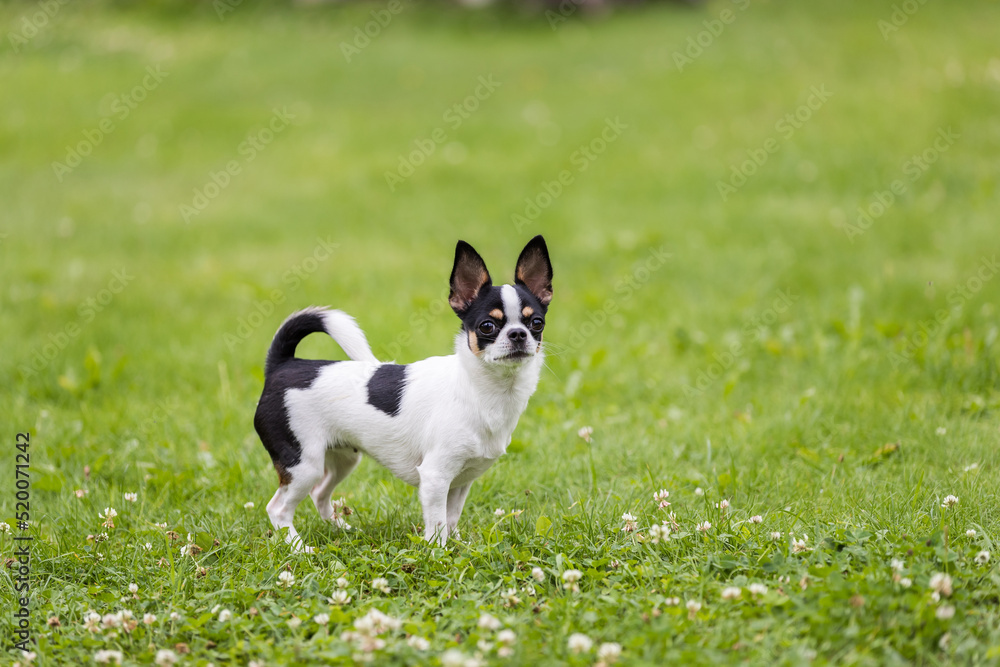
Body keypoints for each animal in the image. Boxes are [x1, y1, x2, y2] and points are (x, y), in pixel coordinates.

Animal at [252, 237, 556, 552]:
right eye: (487, 326)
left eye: (537, 323)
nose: (518, 334)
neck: (482, 391)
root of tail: (284, 364)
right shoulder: (435, 477)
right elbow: (437, 523)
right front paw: (438, 553)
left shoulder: (460, 481)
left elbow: (451, 517)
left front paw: (457, 545)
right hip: (303, 464)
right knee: (278, 508)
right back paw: (297, 547)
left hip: (343, 459)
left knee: (319, 493)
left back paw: (341, 529)